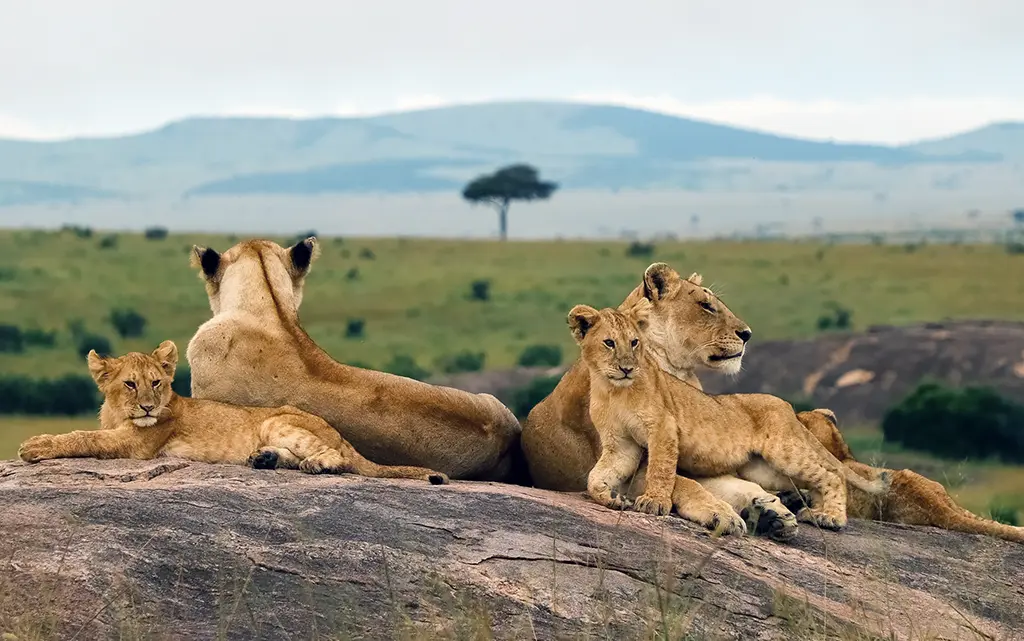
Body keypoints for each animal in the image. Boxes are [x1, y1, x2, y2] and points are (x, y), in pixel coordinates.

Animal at [18, 341, 449, 485]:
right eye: (130, 384)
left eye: (156, 383)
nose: (148, 407)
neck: (119, 415)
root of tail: (338, 431)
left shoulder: (136, 444)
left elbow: (82, 437)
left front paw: (35, 446)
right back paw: (263, 459)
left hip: (279, 420)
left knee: (338, 458)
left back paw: (315, 465)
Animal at [522, 263, 801, 540]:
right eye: (706, 305)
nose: (747, 334)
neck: (676, 371)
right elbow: (680, 482)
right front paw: (721, 513)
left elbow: (729, 482)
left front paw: (772, 511)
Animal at [569, 300, 889, 530]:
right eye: (610, 343)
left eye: (635, 342)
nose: (626, 367)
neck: (613, 390)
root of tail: (785, 406)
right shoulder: (621, 444)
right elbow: (596, 476)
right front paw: (610, 497)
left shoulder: (663, 428)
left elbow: (661, 470)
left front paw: (654, 502)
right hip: (764, 469)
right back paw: (804, 510)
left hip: (786, 451)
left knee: (832, 474)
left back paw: (830, 517)